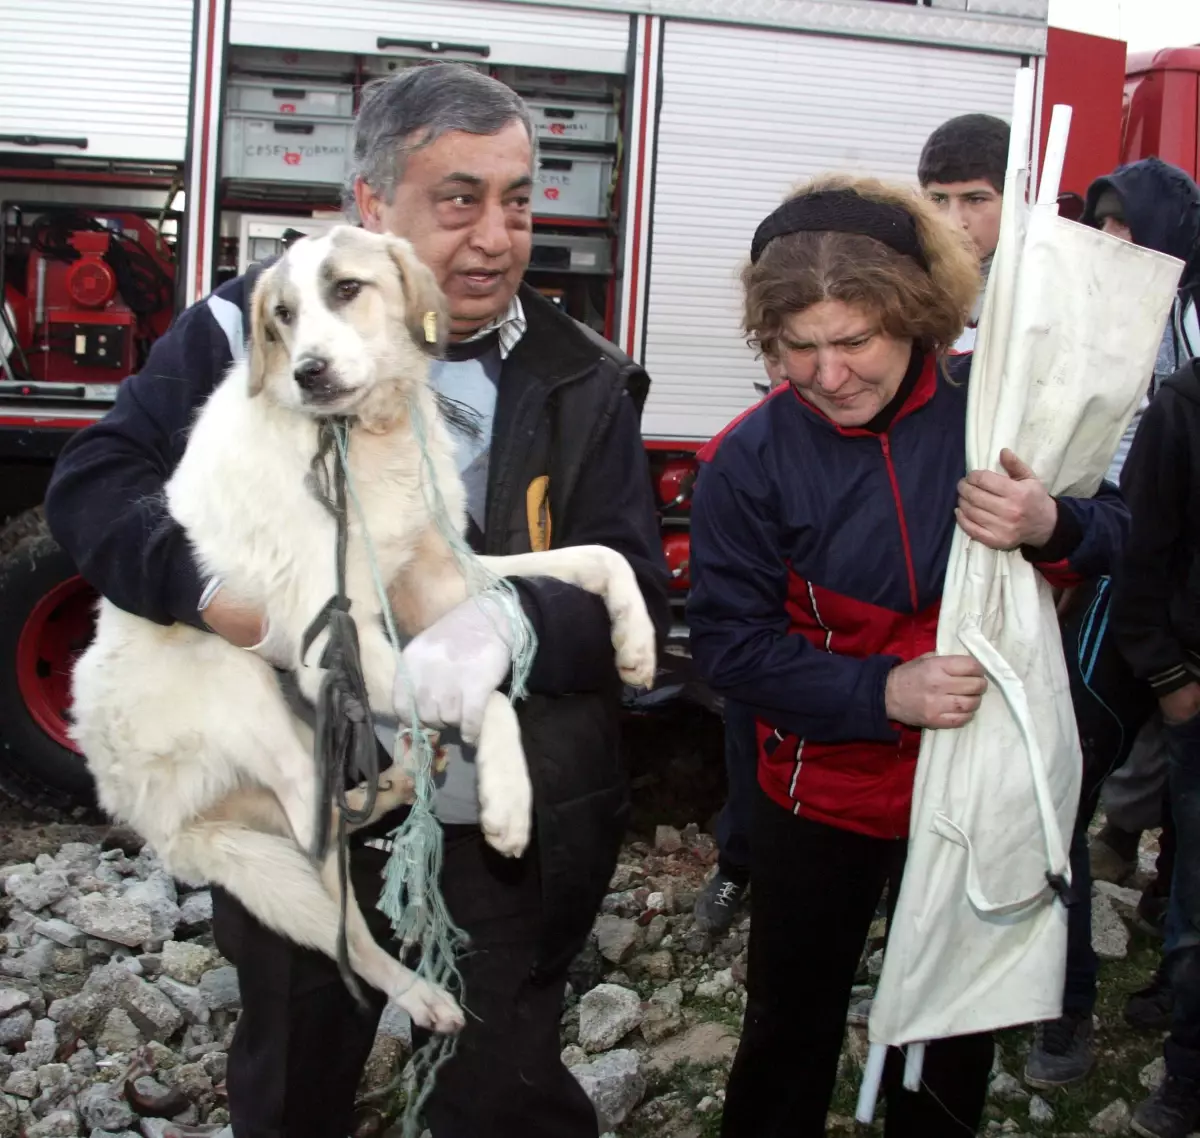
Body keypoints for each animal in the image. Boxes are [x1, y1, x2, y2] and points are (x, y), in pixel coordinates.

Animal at [68, 226, 657, 1037]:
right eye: (281, 315)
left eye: (347, 289)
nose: (309, 373)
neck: (361, 436)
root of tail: (137, 812)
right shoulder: (330, 644)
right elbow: (492, 700)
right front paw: (508, 803)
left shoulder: (440, 579)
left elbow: (596, 558)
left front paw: (636, 644)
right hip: (250, 695)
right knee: (331, 884)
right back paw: (419, 992)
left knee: (333, 820)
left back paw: (404, 773)